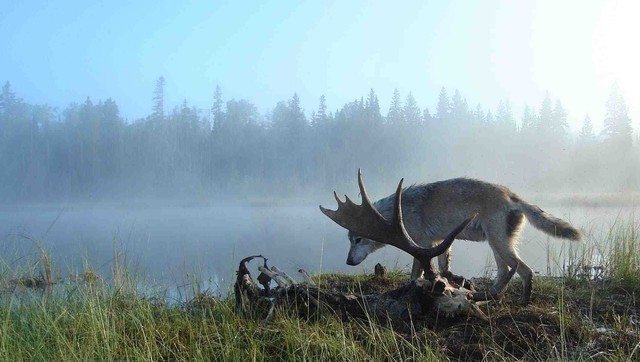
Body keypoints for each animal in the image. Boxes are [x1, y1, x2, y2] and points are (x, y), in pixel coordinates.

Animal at [348, 177, 584, 302]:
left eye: (358, 240)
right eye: (350, 239)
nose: (348, 262)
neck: (395, 213)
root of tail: (513, 196)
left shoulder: (421, 245)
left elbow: (417, 273)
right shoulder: (439, 243)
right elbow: (444, 269)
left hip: (499, 245)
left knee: (523, 270)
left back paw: (518, 302)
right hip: (496, 246)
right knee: (506, 272)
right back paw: (492, 295)